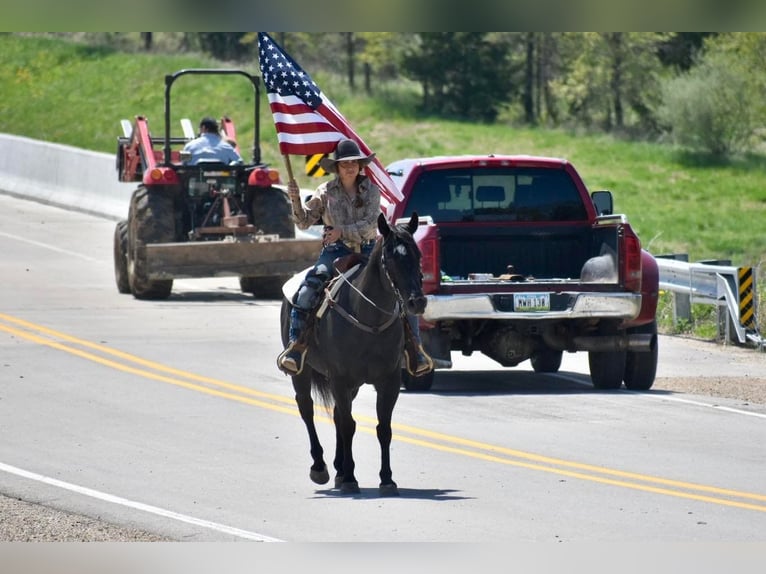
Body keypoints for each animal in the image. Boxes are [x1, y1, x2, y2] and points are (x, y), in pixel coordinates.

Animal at [280, 214, 428, 498]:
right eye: (391, 257)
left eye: (418, 254)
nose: (417, 302)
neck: (370, 320)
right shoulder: (340, 378)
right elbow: (349, 425)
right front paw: (350, 478)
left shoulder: (389, 381)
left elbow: (383, 428)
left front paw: (386, 480)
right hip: (302, 373)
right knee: (307, 409)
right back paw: (321, 467)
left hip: (353, 386)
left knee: (338, 414)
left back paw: (339, 468)